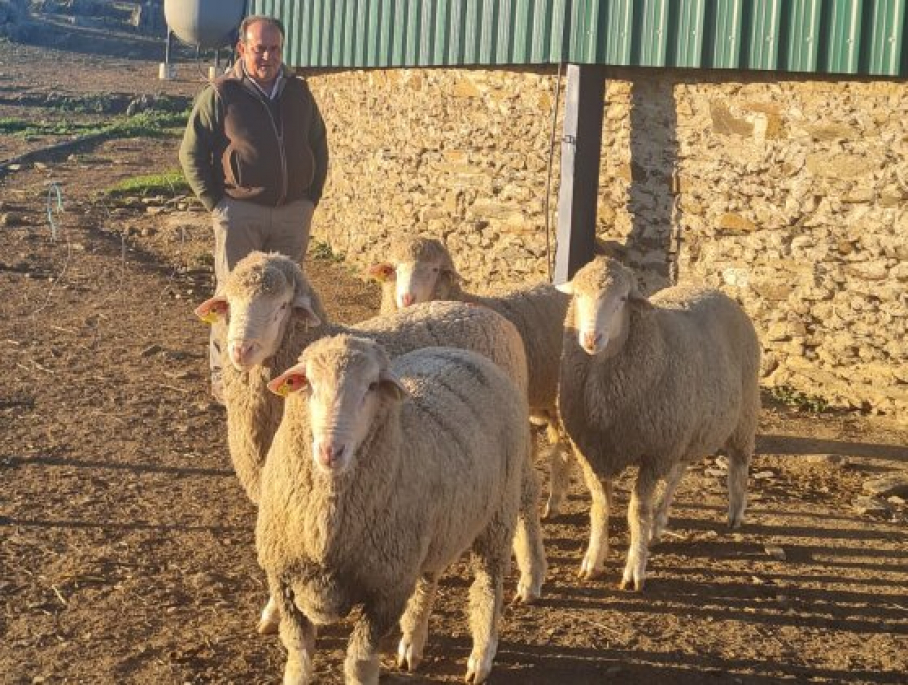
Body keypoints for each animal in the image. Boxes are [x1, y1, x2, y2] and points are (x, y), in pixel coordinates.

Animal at [193, 250, 548, 632]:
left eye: (282, 306)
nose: (241, 350)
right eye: (228, 304)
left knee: (528, 493)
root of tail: (487, 313)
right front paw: (276, 610)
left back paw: (532, 575)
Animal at [255, 336, 540, 684]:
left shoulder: (386, 591)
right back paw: (413, 643)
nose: (330, 451)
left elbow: (360, 662)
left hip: (498, 513)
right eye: (308, 382)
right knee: (428, 580)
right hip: (435, 532)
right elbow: (298, 655)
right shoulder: (283, 578)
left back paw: (481, 656)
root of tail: (466, 354)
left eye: (371, 385)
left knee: (488, 583)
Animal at [556, 255, 764, 588]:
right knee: (677, 475)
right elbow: (600, 507)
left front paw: (634, 569)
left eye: (623, 299)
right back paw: (658, 523)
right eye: (577, 295)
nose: (591, 338)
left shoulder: (653, 454)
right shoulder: (592, 450)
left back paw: (735, 512)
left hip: (744, 409)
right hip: (687, 427)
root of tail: (711, 289)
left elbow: (636, 511)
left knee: (740, 461)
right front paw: (593, 560)